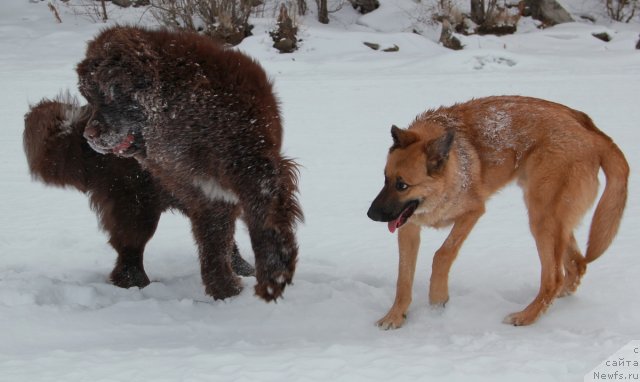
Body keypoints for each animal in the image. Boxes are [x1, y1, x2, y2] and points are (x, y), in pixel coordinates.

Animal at [368, 95, 628, 328]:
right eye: (385, 179)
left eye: (402, 185)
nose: (371, 215)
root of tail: (592, 132)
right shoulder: (408, 227)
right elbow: (403, 278)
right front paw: (396, 316)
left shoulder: (472, 212)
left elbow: (442, 254)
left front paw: (438, 299)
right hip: (555, 220)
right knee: (575, 265)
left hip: (542, 218)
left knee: (554, 276)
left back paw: (526, 316)